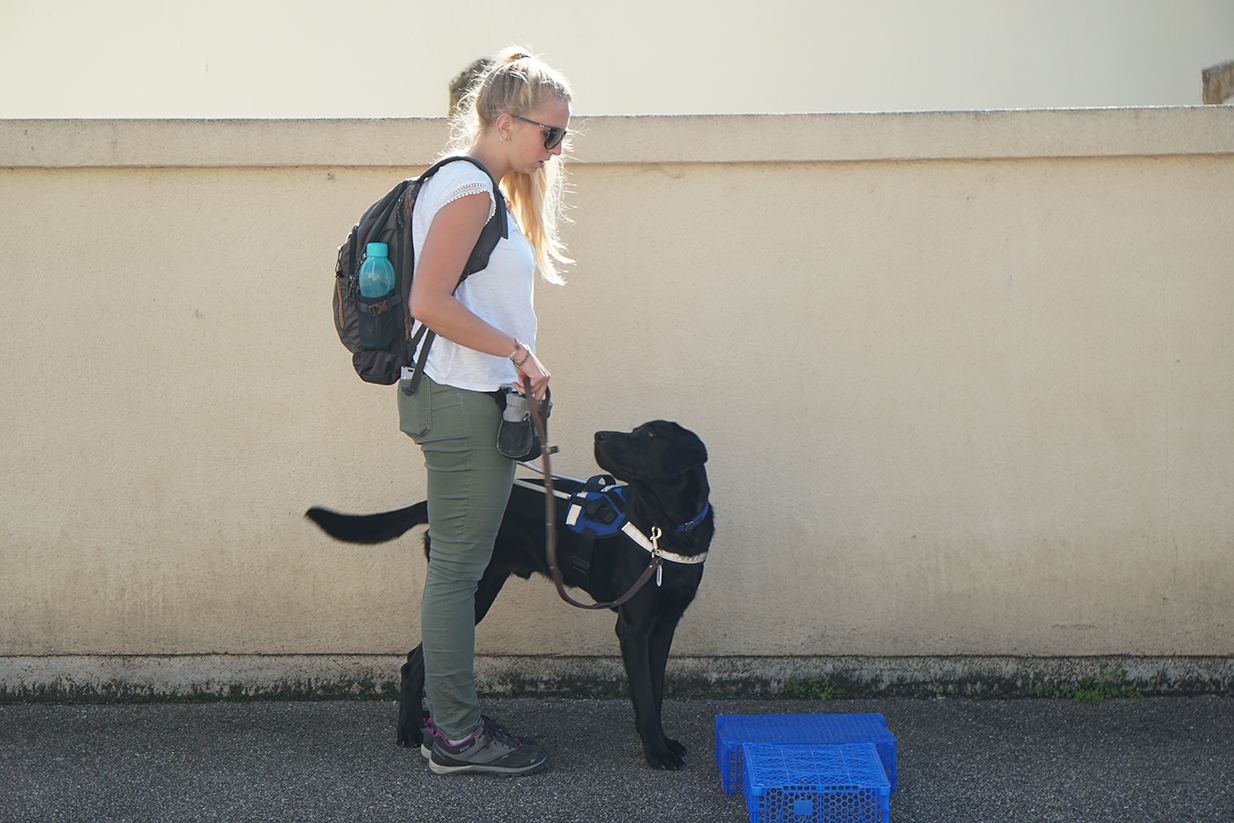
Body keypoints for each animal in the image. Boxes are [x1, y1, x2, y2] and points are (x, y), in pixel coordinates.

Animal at [306, 421, 715, 769]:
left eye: (650, 434)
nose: (599, 435)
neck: (671, 526)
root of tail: (441, 508)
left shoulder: (664, 626)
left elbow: (656, 690)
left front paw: (662, 741)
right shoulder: (633, 628)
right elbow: (644, 693)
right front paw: (657, 751)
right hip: (472, 593)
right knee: (415, 662)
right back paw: (409, 729)